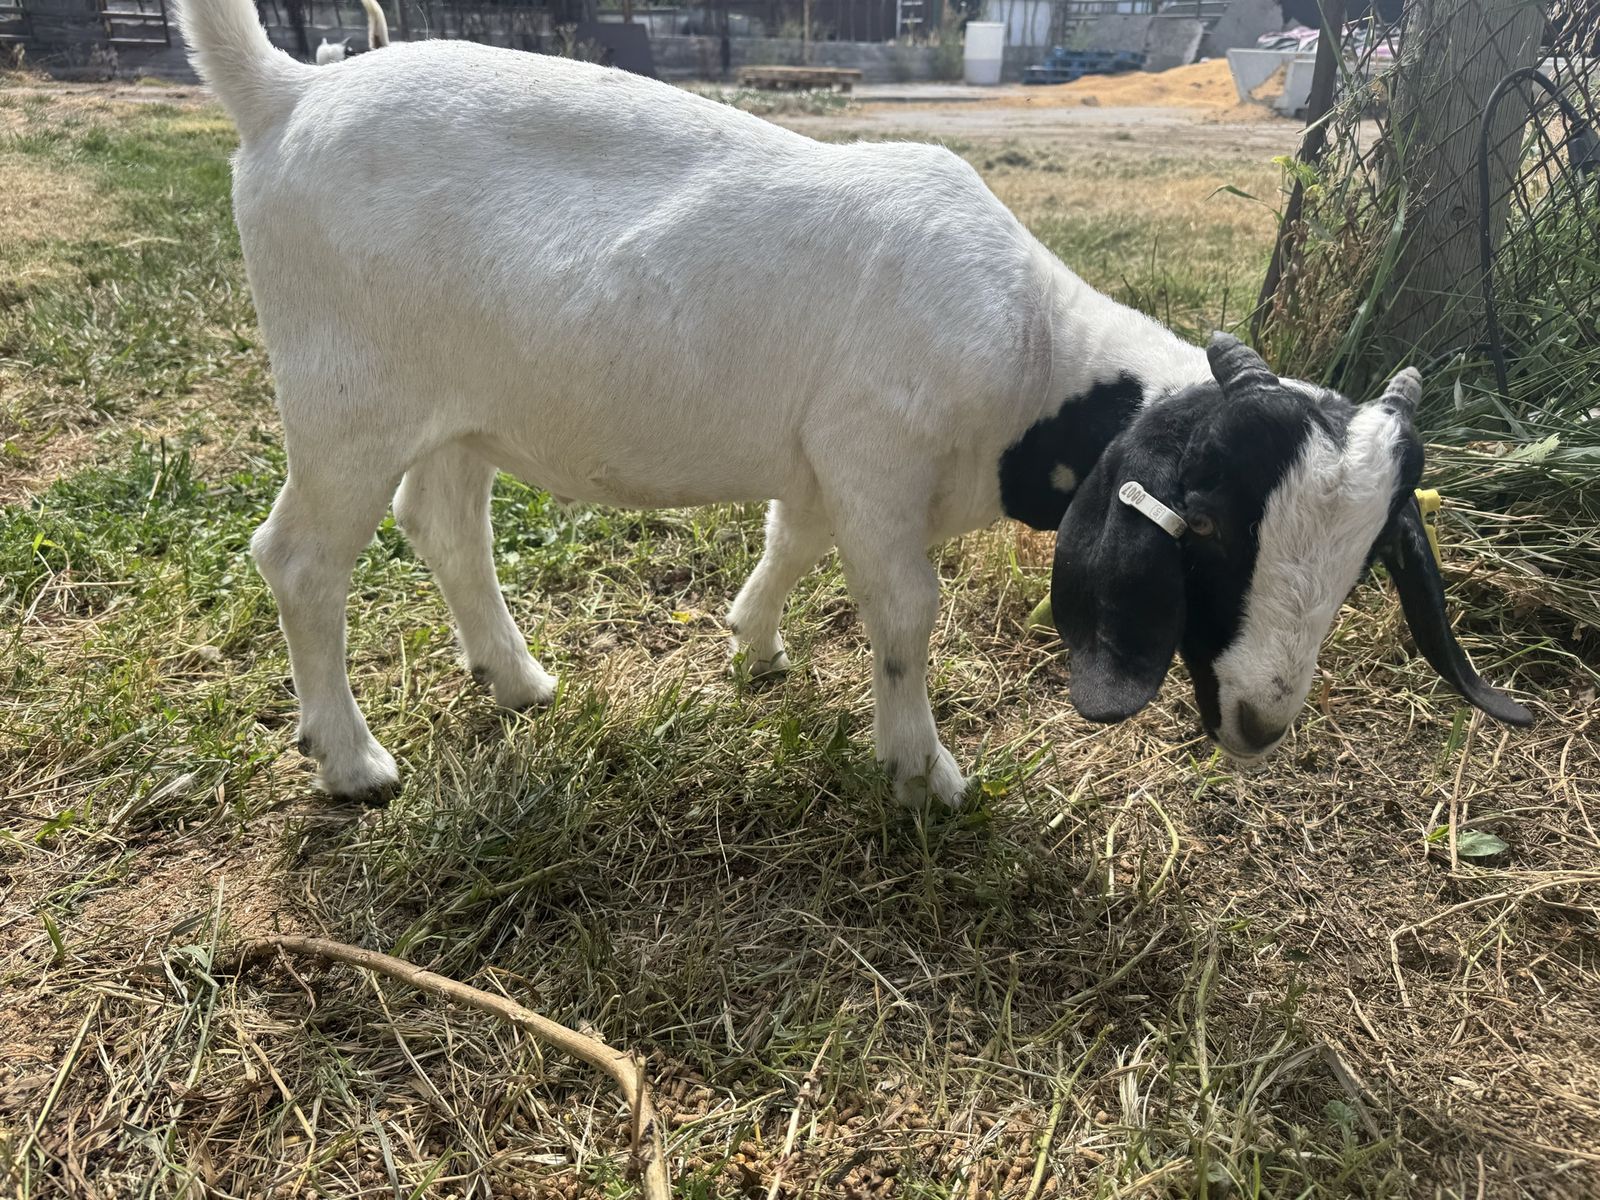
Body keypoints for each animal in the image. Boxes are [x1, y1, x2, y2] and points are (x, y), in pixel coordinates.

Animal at [177, 0, 1531, 807]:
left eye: (1365, 563)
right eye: (1203, 526)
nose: (1257, 720)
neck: (1029, 352)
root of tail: (285, 93)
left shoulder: (827, 458)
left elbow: (791, 538)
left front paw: (754, 645)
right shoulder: (875, 454)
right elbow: (903, 616)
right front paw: (925, 769)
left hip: (459, 403)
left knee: (445, 523)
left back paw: (517, 682)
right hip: (345, 393)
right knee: (300, 557)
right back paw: (353, 760)